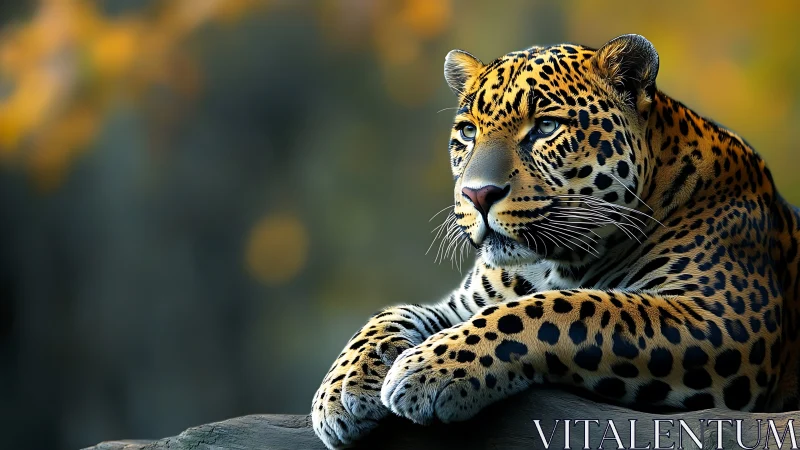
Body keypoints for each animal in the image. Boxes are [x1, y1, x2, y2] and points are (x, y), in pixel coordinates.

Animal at [311, 34, 800, 449]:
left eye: (546, 127)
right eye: (468, 132)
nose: (477, 194)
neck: (552, 262)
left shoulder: (723, 315)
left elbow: (564, 307)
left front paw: (426, 369)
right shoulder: (463, 304)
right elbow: (391, 313)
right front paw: (341, 390)